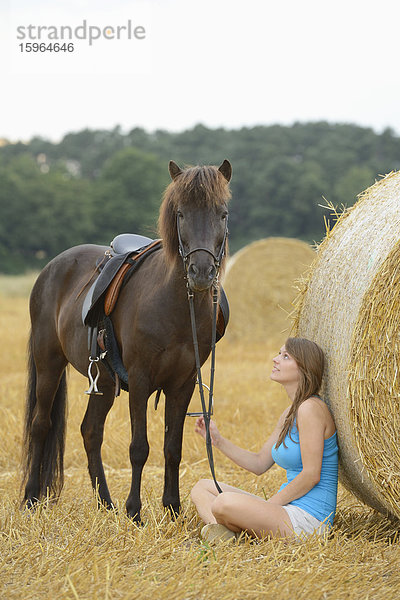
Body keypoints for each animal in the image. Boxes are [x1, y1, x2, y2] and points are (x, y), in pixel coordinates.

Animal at [21, 159, 233, 520]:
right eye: (180, 214)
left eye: (222, 213)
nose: (202, 272)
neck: (175, 306)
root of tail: (51, 267)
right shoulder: (141, 378)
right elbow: (139, 447)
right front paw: (135, 511)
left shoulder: (183, 383)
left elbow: (172, 447)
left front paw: (172, 508)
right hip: (48, 363)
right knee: (41, 425)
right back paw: (32, 498)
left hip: (104, 382)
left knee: (90, 432)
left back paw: (105, 502)